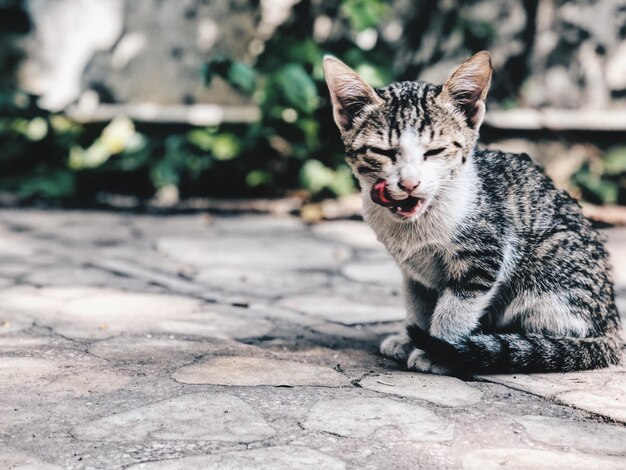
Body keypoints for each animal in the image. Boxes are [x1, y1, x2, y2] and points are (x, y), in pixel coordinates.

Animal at [322, 52, 620, 374]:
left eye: (434, 151)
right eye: (383, 152)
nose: (409, 183)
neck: (417, 226)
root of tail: (611, 321)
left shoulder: (485, 256)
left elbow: (456, 308)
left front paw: (439, 349)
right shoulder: (412, 274)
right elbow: (417, 303)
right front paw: (411, 338)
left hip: (552, 271)